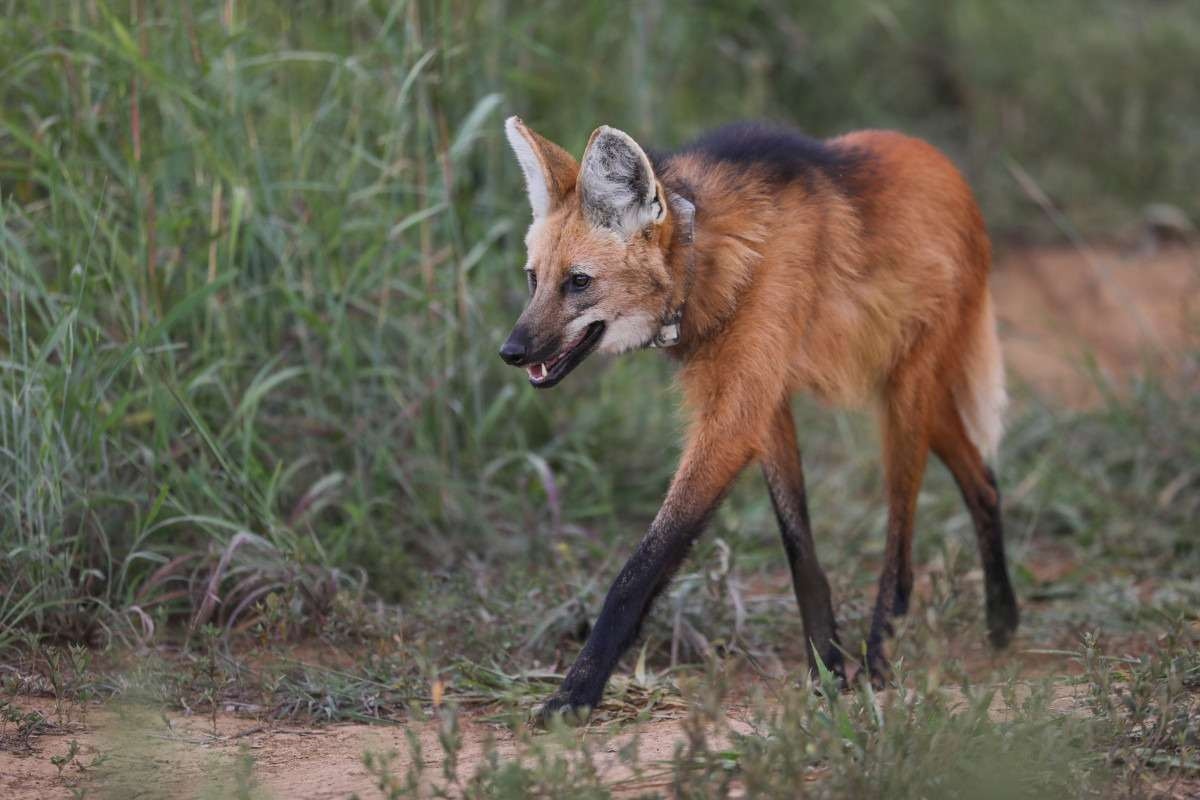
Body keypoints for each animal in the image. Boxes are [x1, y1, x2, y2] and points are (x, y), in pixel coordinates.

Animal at [499, 115, 1022, 724]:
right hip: (912, 389)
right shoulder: (764, 404)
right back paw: (1002, 620)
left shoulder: (735, 414)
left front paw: (574, 693)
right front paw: (827, 669)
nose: (511, 351)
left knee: (903, 532)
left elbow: (641, 567)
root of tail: (948, 170)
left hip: (906, 396)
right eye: (533, 279)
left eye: (578, 282)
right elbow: (800, 550)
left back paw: (882, 653)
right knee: (983, 479)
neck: (710, 260)